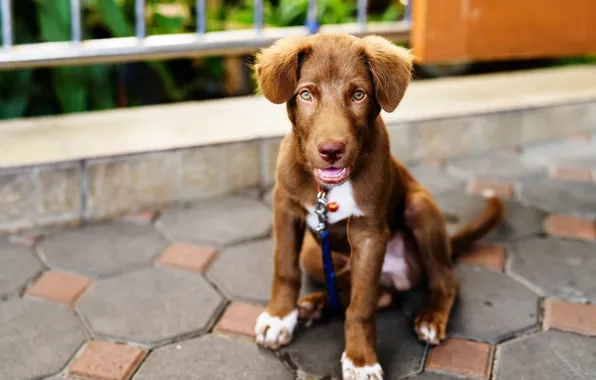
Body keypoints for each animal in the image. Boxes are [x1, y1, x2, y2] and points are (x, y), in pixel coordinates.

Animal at [251, 33, 502, 380]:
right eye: (305, 94)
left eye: (358, 94)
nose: (331, 150)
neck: (329, 189)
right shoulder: (285, 208)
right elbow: (285, 269)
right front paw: (279, 319)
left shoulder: (369, 235)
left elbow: (361, 306)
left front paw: (361, 361)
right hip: (314, 254)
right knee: (379, 293)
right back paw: (314, 304)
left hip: (420, 209)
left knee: (443, 280)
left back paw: (430, 318)